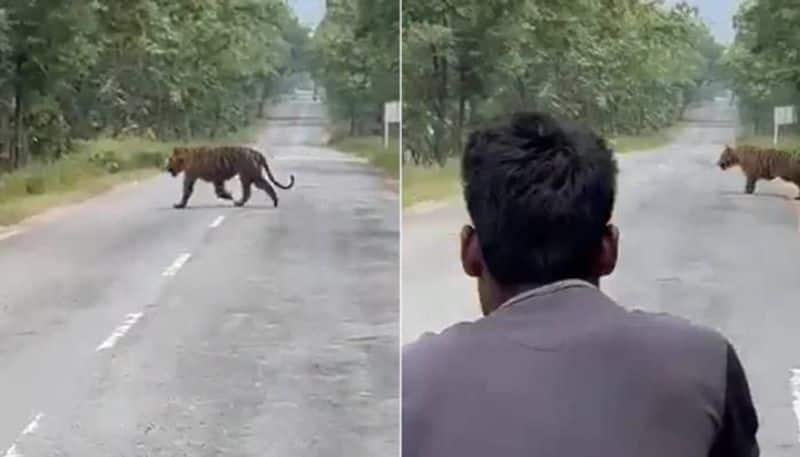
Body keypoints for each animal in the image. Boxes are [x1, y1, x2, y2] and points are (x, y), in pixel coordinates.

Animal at [167, 144, 296, 208]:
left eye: (170, 159)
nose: (167, 168)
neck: (185, 160)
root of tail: (256, 153)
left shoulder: (192, 175)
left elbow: (186, 191)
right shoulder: (214, 177)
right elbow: (217, 190)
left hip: (248, 174)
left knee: (253, 190)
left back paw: (239, 203)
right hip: (253, 176)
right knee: (263, 186)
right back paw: (274, 201)